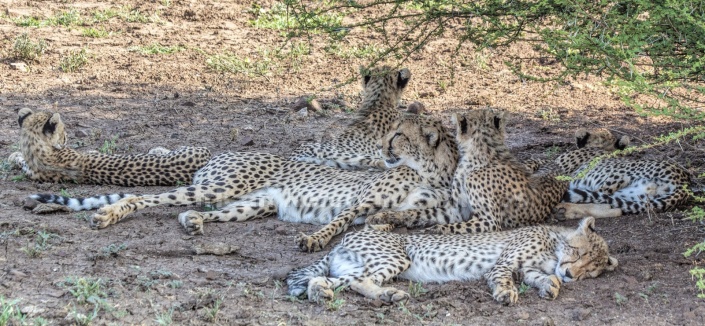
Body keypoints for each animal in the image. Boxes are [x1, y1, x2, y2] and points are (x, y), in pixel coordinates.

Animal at [7, 108, 209, 187]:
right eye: (64, 133)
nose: (66, 138)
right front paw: (14, 156)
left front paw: (13, 156)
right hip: (198, 150)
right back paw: (156, 150)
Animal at [85, 113, 460, 251]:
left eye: (398, 135)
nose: (382, 148)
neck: (432, 174)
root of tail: (217, 154)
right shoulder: (362, 201)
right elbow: (338, 222)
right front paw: (314, 240)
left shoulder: (417, 211)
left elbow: (392, 219)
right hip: (222, 186)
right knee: (146, 198)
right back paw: (108, 215)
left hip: (253, 204)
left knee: (196, 211)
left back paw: (193, 220)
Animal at [286, 216, 616, 306]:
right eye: (581, 253)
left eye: (590, 271)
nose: (573, 274)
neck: (554, 243)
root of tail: (347, 238)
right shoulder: (502, 265)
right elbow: (503, 279)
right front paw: (505, 294)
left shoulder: (530, 269)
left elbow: (544, 277)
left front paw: (552, 286)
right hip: (396, 256)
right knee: (338, 280)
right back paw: (318, 292)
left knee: (356, 281)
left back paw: (390, 295)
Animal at [368, 109, 620, 234]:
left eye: (398, 134)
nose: (379, 146)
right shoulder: (456, 208)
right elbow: (420, 212)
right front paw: (387, 216)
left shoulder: (488, 222)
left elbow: (448, 228)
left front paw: (431, 232)